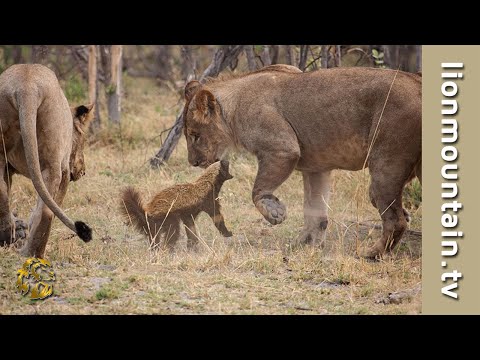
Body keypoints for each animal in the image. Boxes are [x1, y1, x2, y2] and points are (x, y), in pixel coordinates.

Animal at [0, 63, 94, 258]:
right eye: (83, 140)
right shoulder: (65, 171)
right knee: (46, 211)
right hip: (53, 163)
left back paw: (7, 237)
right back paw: (31, 253)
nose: (83, 171)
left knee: (2, 192)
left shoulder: (8, 168)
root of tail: (26, 86)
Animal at [182, 63, 422, 258]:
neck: (233, 109)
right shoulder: (316, 168)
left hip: (386, 162)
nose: (193, 162)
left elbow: (257, 190)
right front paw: (304, 244)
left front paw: (275, 213)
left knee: (395, 220)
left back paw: (371, 253)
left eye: (194, 135)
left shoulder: (282, 149)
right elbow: (314, 211)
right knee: (388, 208)